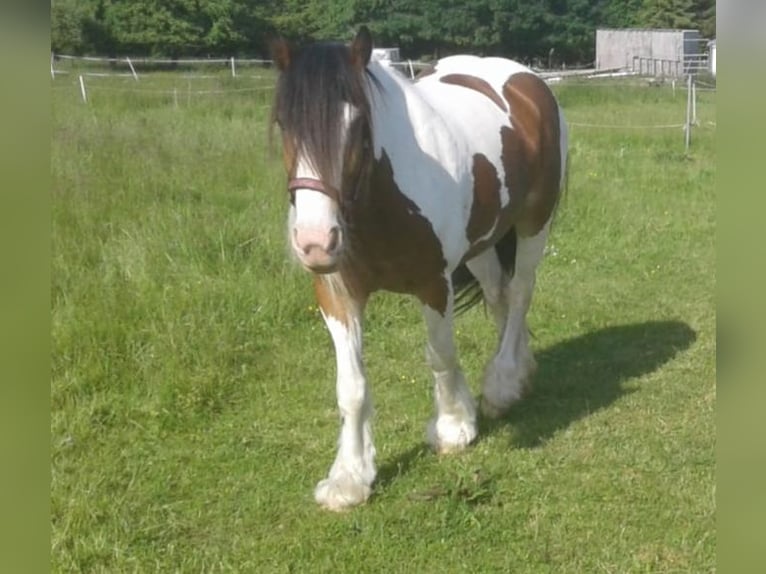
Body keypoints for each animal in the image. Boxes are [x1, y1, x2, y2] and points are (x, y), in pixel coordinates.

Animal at [270, 27, 568, 512]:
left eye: (358, 123)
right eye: (283, 123)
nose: (315, 242)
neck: (380, 199)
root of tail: (526, 78)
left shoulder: (434, 283)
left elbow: (440, 356)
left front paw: (453, 426)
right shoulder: (337, 294)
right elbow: (351, 386)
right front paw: (349, 477)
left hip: (532, 223)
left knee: (521, 292)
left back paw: (503, 382)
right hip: (482, 243)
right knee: (500, 298)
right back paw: (520, 368)